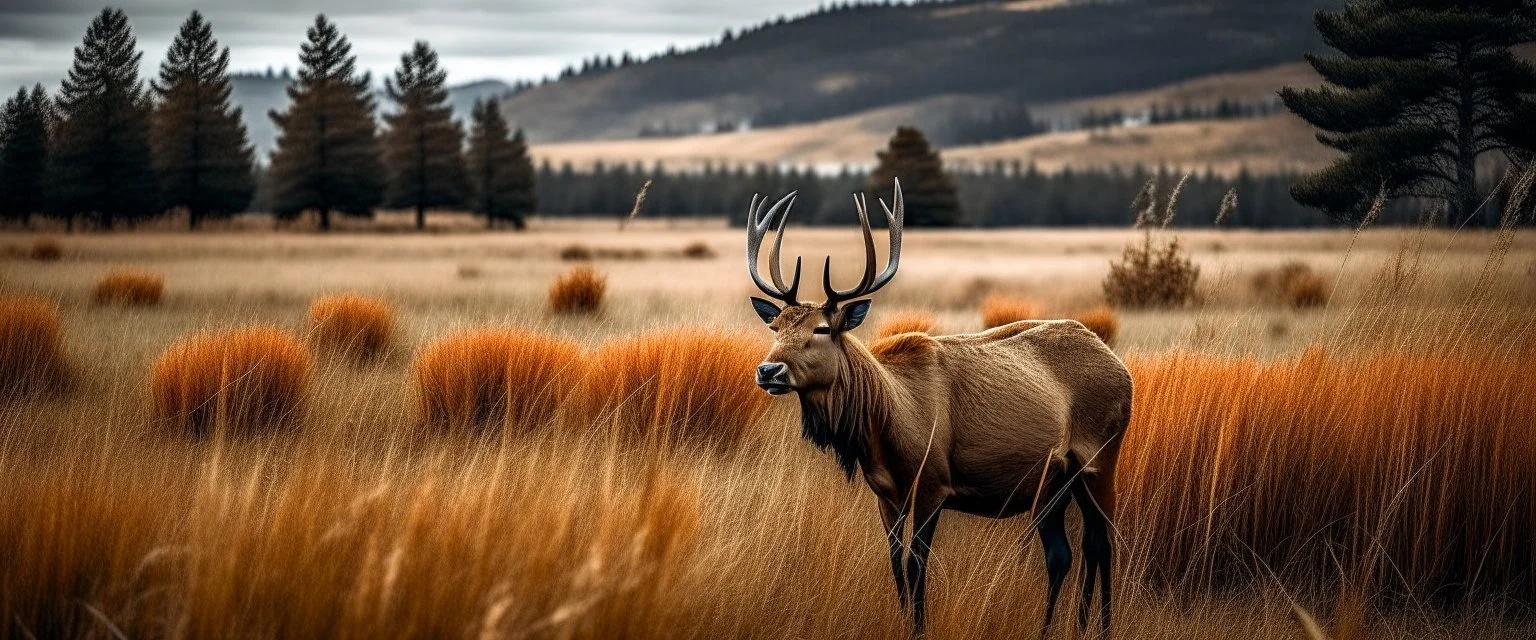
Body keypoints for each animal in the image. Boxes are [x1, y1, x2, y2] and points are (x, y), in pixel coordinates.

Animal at [743, 178, 1130, 632]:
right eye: (775, 325)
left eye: (821, 329)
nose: (768, 370)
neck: (886, 426)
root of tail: (1121, 367)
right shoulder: (886, 493)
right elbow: (895, 563)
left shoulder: (933, 482)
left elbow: (916, 563)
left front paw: (920, 626)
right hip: (1053, 484)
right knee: (1064, 553)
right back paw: (1059, 627)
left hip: (1101, 459)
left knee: (1102, 543)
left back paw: (1102, 626)